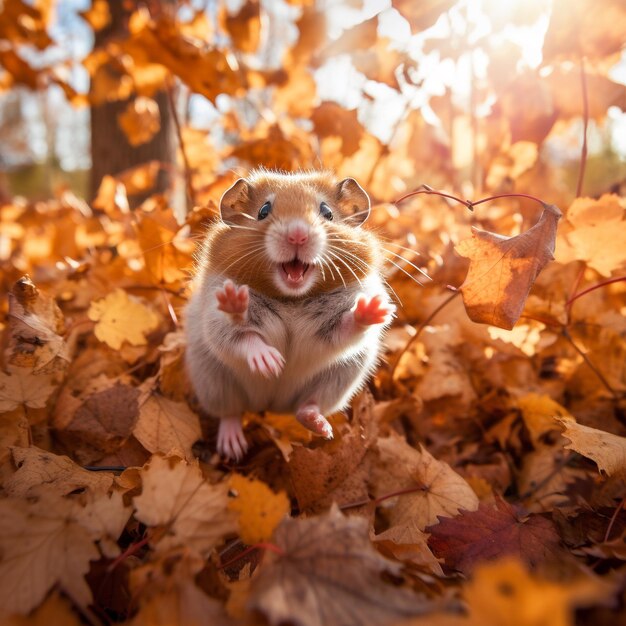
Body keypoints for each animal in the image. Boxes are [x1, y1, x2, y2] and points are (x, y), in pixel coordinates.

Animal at [183, 171, 392, 458]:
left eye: (327, 212)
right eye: (263, 211)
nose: (297, 235)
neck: (291, 299)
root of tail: (271, 405)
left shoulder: (332, 330)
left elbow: (347, 327)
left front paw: (374, 308)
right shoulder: (215, 320)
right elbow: (242, 335)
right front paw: (271, 362)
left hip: (342, 378)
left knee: (307, 407)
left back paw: (321, 426)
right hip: (212, 379)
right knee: (230, 413)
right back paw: (233, 448)